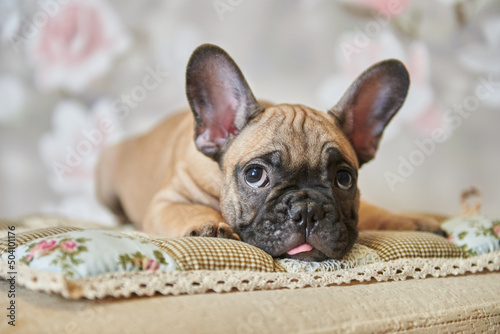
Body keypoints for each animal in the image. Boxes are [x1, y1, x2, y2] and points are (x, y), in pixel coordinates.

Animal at [95, 43, 440, 260]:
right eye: (254, 175)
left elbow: (372, 210)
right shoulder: (167, 201)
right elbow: (188, 210)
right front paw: (210, 225)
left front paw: (409, 220)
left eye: (344, 179)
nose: (307, 210)